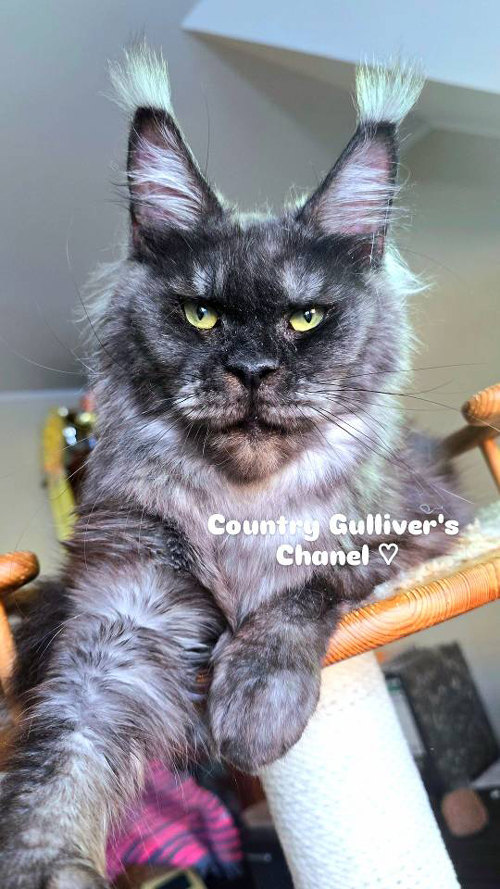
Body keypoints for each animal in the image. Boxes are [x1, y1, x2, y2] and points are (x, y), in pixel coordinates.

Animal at [0, 46, 469, 888]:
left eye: (305, 318)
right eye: (202, 313)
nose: (250, 370)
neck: (238, 506)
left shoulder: (420, 527)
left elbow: (301, 592)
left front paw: (253, 706)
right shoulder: (123, 608)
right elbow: (59, 769)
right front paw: (46, 864)